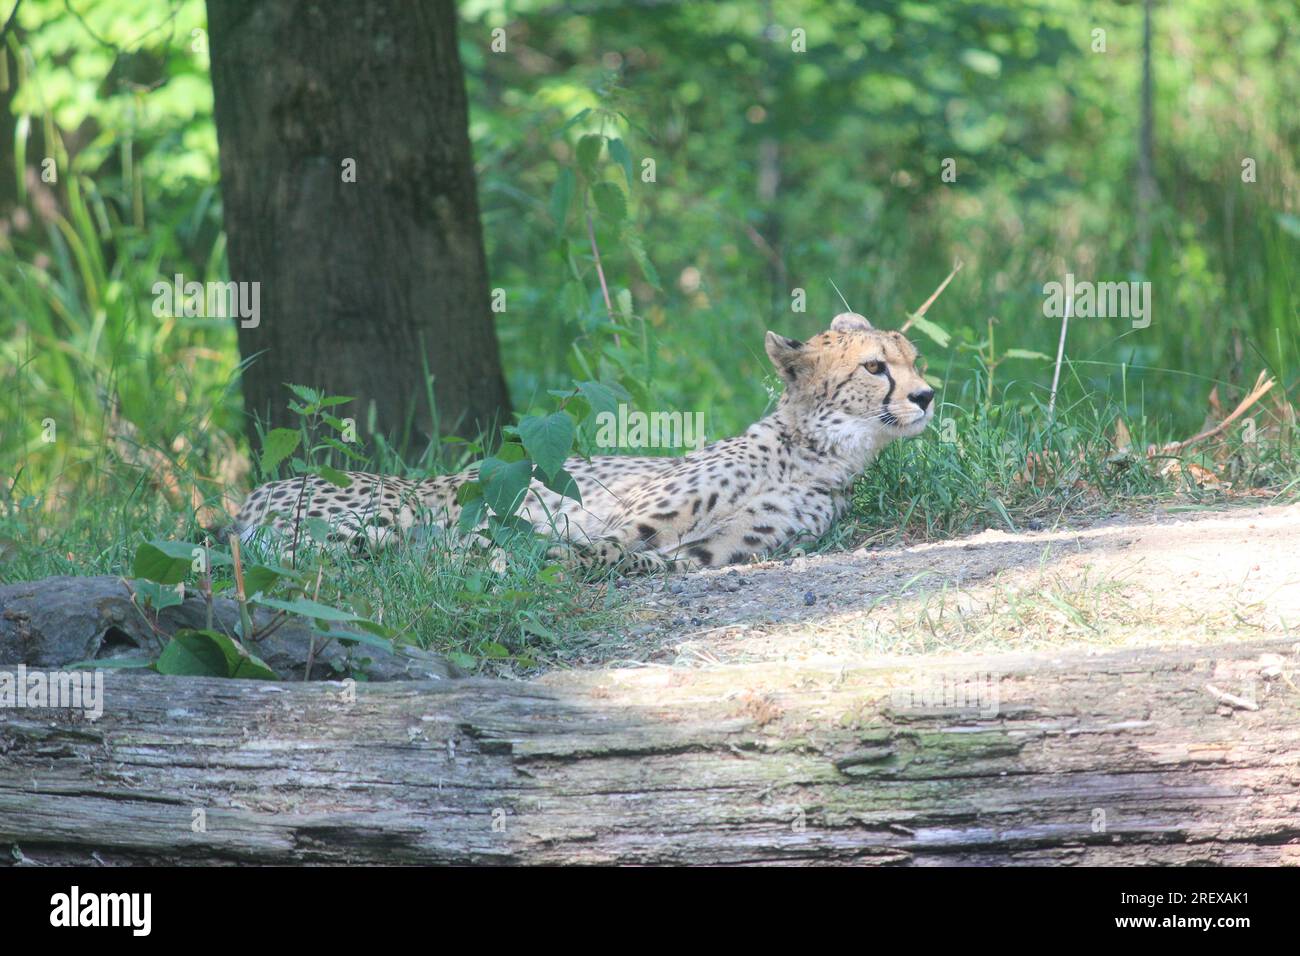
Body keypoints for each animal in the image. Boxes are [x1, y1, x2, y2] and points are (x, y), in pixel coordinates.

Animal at [228, 312, 930, 574]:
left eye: (913, 359)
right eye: (876, 367)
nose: (927, 396)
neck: (812, 451)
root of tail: (259, 492)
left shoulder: (718, 549)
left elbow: (644, 561)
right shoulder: (620, 517)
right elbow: (584, 546)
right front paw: (521, 561)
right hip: (385, 518)